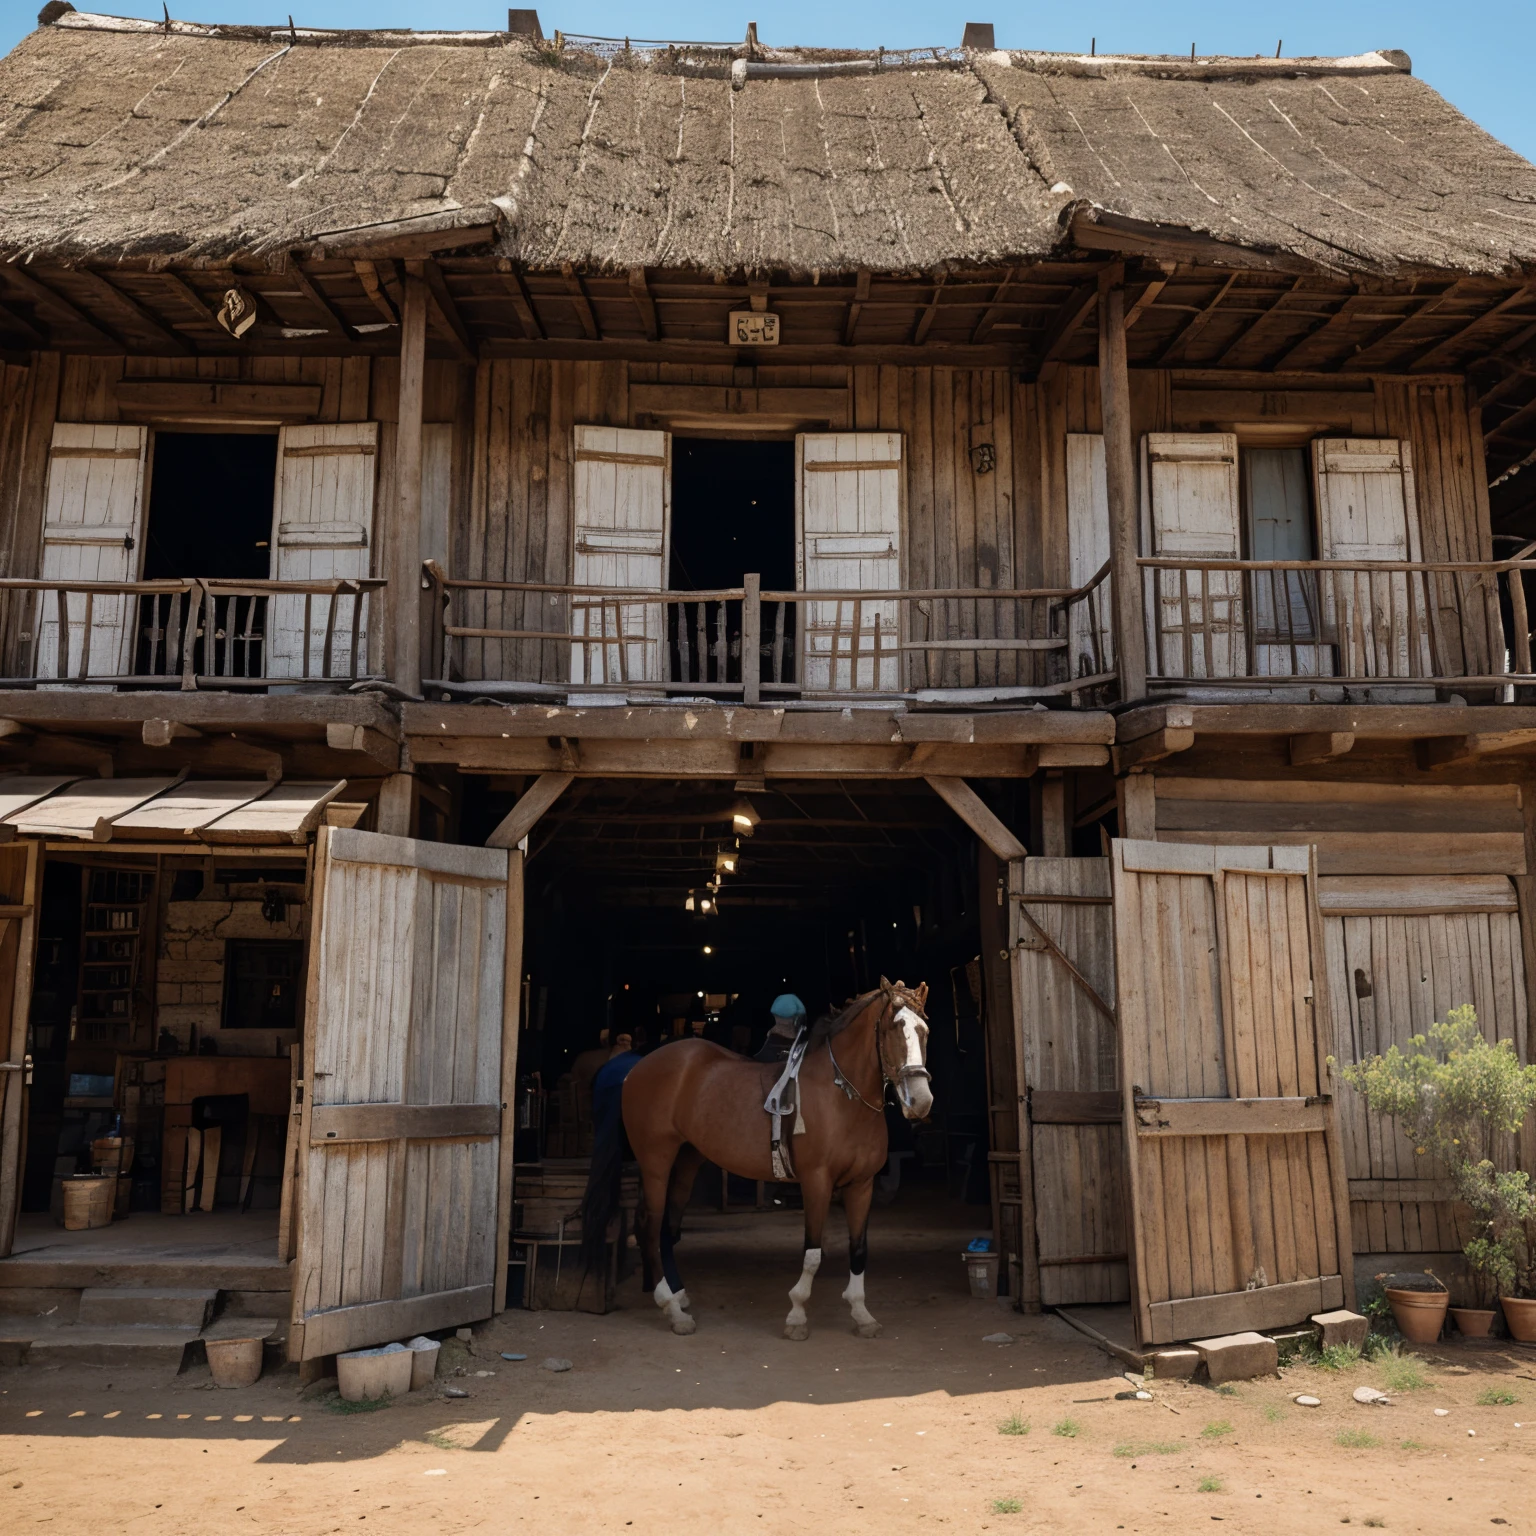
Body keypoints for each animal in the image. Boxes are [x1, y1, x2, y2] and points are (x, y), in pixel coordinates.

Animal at [580, 983, 927, 1333]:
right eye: (893, 1027)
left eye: (924, 1030)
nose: (921, 1101)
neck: (842, 1096)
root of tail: (636, 1068)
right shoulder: (817, 1182)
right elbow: (812, 1252)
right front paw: (797, 1313)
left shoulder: (861, 1185)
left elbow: (859, 1249)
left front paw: (861, 1313)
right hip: (655, 1161)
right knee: (649, 1226)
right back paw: (671, 1308)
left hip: (686, 1160)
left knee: (667, 1228)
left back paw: (674, 1294)